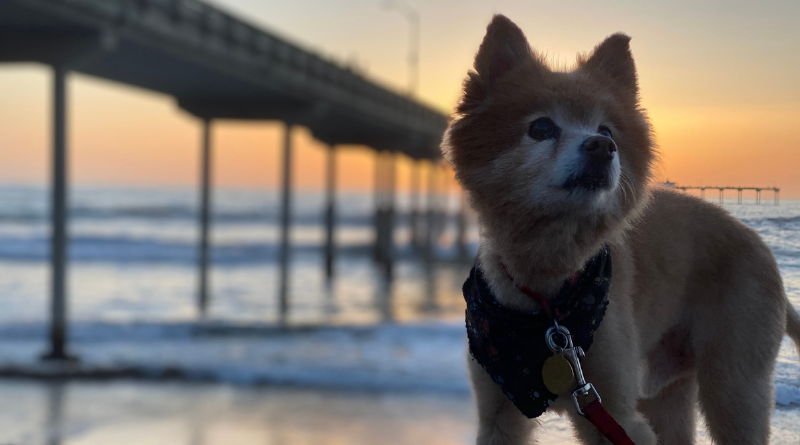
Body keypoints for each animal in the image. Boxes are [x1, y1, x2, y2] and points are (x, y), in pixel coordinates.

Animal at [444, 14, 800, 444]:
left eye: (607, 131)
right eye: (541, 128)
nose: (601, 146)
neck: (549, 304)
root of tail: (758, 244)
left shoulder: (615, 413)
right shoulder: (499, 414)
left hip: (733, 388)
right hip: (667, 394)